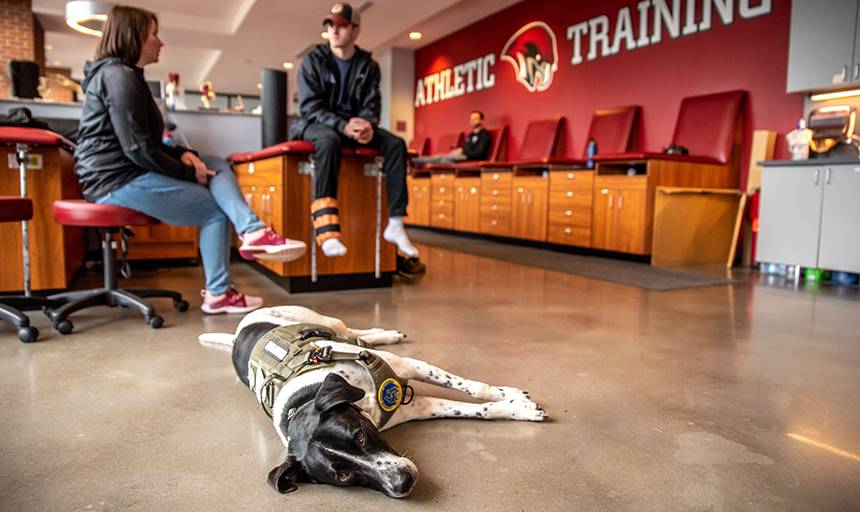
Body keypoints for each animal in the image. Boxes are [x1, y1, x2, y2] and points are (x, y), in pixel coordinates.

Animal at [199, 306, 548, 498]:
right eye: (342, 476)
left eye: (359, 436)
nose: (403, 483)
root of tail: (239, 334)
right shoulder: (416, 407)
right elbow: (474, 409)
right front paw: (513, 407)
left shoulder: (409, 366)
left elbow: (474, 390)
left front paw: (511, 397)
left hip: (324, 320)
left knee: (350, 329)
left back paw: (385, 334)